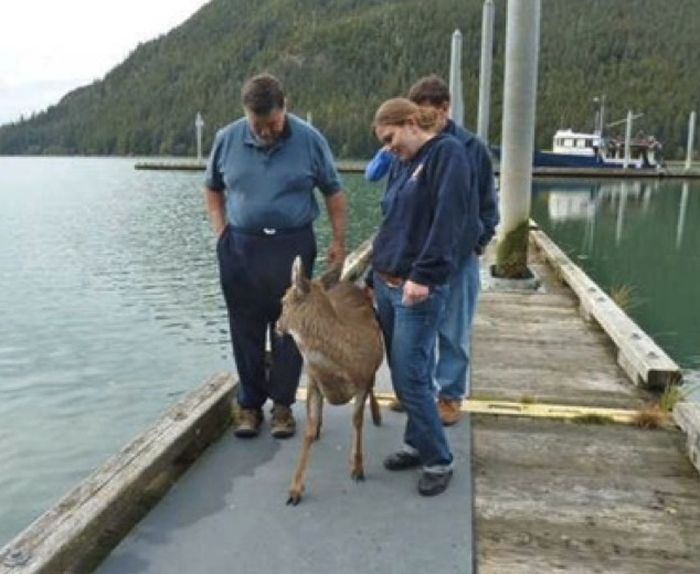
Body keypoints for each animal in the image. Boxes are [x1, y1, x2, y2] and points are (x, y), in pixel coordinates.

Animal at [274, 258, 382, 506]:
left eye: (283, 301)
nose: (276, 325)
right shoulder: (314, 381)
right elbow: (308, 430)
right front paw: (295, 490)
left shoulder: (363, 380)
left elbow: (357, 421)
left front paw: (357, 468)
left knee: (373, 388)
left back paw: (377, 415)